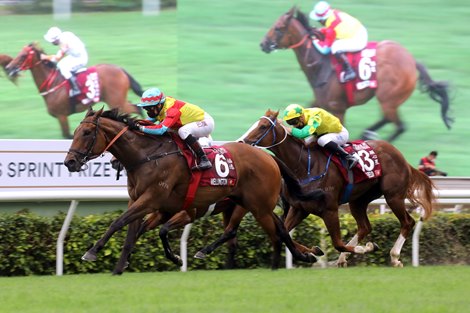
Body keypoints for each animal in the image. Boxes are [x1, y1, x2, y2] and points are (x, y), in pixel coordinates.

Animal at [5, 43, 142, 138]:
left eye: (23, 55)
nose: (8, 68)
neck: (52, 83)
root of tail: (121, 69)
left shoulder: (62, 116)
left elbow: (68, 135)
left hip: (116, 101)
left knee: (136, 109)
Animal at [64, 108, 324, 272]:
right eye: (75, 133)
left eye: (86, 133)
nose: (70, 162)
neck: (148, 155)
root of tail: (268, 156)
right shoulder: (150, 204)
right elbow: (135, 230)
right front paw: (124, 263)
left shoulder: (153, 201)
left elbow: (118, 222)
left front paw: (92, 252)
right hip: (252, 205)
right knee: (277, 227)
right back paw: (304, 253)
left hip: (255, 205)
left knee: (265, 230)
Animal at [241, 109, 436, 266]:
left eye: (263, 126)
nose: (241, 142)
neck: (305, 165)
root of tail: (402, 157)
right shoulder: (299, 208)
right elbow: (284, 233)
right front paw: (313, 252)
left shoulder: (329, 209)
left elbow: (337, 243)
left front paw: (366, 248)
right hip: (359, 200)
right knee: (365, 227)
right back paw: (343, 259)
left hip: (393, 196)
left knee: (407, 222)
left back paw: (394, 257)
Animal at [258, 6, 454, 141]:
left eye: (278, 28)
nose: (263, 44)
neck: (321, 65)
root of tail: (412, 61)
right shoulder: (318, 104)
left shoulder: (338, 108)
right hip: (389, 100)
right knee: (388, 120)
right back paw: (367, 134)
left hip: (388, 98)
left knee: (400, 126)